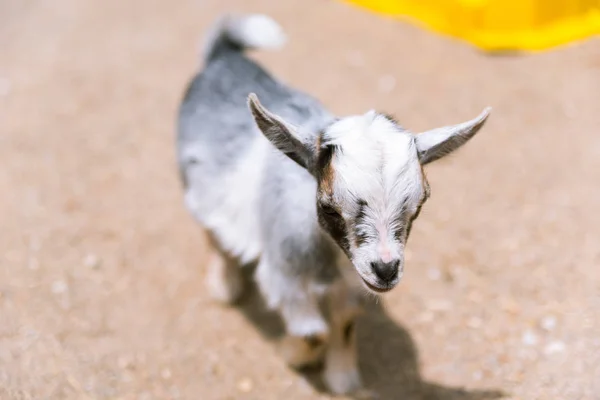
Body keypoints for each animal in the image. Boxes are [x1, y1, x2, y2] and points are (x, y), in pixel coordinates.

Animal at [176, 13, 490, 394]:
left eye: (418, 204)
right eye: (327, 206)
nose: (385, 270)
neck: (328, 254)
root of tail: (223, 56)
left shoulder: (352, 283)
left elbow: (344, 323)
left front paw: (342, 378)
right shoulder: (286, 278)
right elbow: (314, 333)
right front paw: (292, 355)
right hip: (195, 185)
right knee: (211, 229)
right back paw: (225, 285)